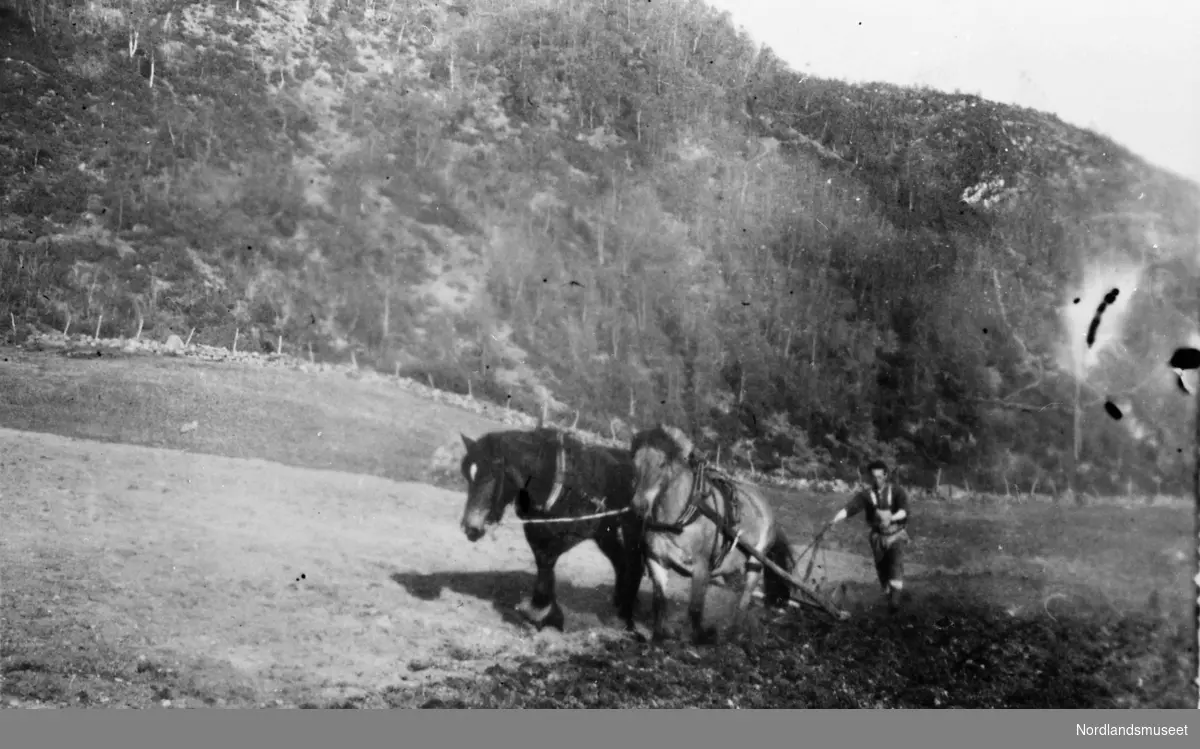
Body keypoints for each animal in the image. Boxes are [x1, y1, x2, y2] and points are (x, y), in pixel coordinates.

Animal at [458, 427, 648, 633]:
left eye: (494, 475)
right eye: (468, 476)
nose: (471, 527)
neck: (555, 480)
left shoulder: (573, 532)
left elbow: (547, 557)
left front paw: (541, 611)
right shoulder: (535, 529)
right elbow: (542, 562)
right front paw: (542, 610)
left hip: (631, 528)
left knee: (634, 564)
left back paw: (626, 614)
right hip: (606, 530)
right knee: (620, 562)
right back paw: (617, 606)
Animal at [628, 424, 796, 648]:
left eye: (662, 464)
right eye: (635, 462)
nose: (639, 506)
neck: (682, 514)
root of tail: (766, 508)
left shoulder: (701, 567)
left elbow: (695, 608)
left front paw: (698, 639)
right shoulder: (656, 561)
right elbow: (659, 602)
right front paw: (657, 638)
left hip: (755, 562)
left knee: (745, 598)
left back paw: (734, 635)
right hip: (732, 567)